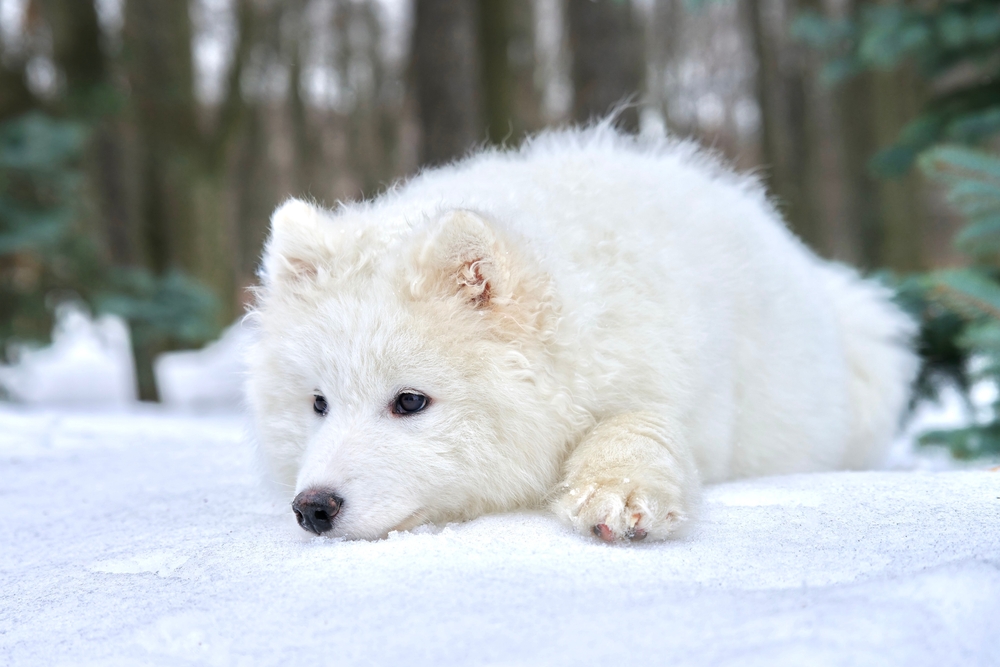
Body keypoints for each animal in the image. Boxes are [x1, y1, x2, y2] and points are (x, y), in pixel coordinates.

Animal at [246, 124, 916, 544]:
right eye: (317, 403)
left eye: (410, 401)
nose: (313, 507)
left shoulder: (666, 381)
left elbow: (637, 425)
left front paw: (619, 495)